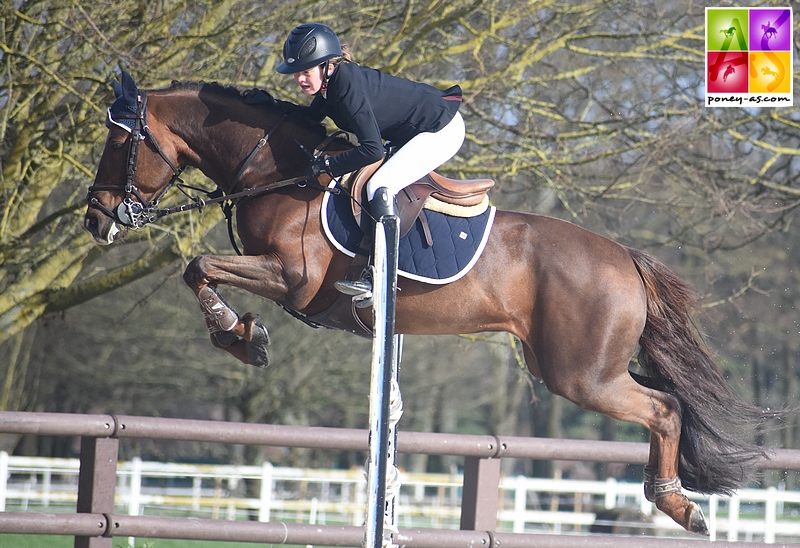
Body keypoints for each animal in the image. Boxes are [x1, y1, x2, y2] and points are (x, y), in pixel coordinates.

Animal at [86, 71, 776, 536]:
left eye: (119, 144)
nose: (97, 220)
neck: (278, 175)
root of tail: (626, 259)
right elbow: (198, 268)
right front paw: (240, 334)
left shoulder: (292, 279)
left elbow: (199, 266)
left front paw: (240, 333)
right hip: (580, 366)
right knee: (667, 402)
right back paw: (676, 500)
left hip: (581, 376)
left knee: (664, 409)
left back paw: (679, 505)